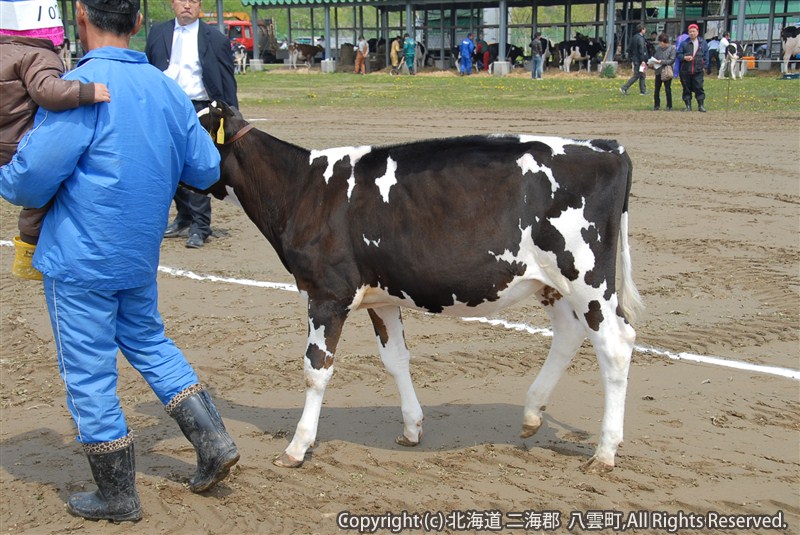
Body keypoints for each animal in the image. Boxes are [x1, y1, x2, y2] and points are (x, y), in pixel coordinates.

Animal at [198, 103, 644, 474]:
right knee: (569, 334)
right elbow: (396, 359)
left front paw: (297, 447)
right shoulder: (380, 296)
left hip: (587, 276)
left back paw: (605, 452)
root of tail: (608, 147)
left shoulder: (327, 294)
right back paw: (533, 413)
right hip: (550, 282)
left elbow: (316, 370)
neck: (303, 190)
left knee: (616, 344)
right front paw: (412, 429)